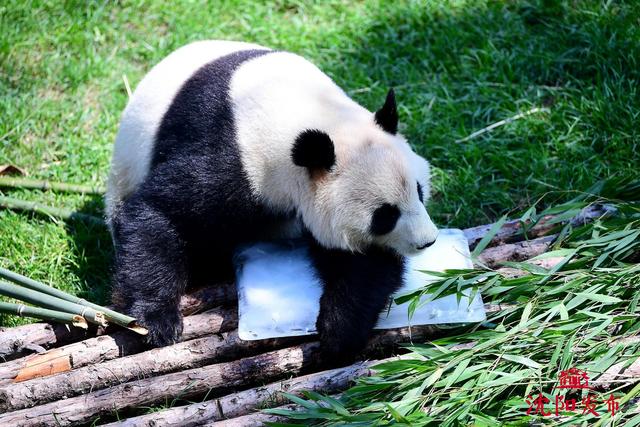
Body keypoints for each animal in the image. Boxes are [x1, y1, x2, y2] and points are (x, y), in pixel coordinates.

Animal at [106, 41, 440, 362]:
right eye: (385, 215)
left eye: (420, 191)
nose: (428, 241)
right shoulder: (235, 159)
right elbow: (160, 210)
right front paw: (156, 321)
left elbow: (363, 262)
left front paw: (339, 331)